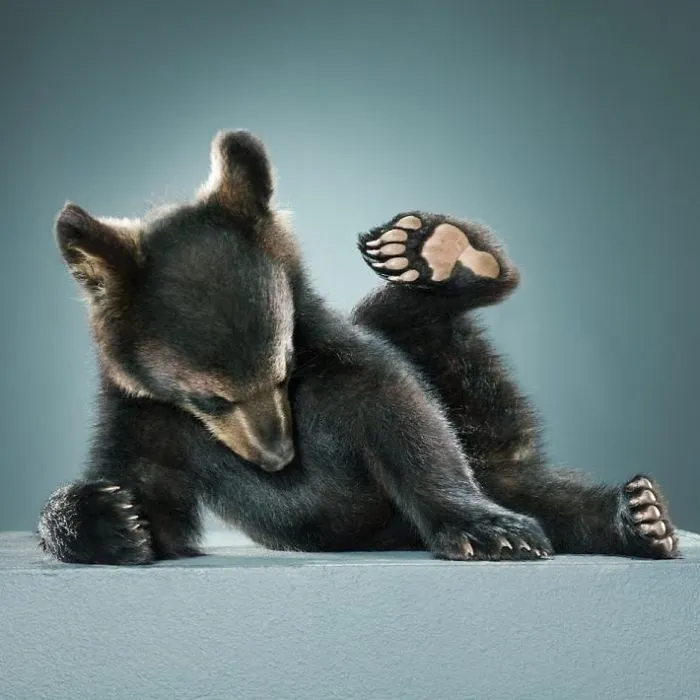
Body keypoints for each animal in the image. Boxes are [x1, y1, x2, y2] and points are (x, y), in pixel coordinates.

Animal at [38, 129, 679, 565]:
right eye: (210, 398)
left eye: (284, 368)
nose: (278, 458)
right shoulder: (148, 417)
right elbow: (150, 501)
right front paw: (108, 518)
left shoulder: (337, 359)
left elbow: (404, 415)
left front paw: (490, 531)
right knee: (547, 498)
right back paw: (638, 517)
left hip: (480, 409)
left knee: (402, 320)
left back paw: (444, 253)